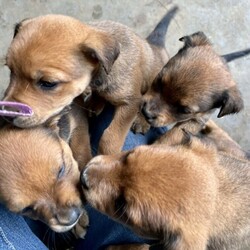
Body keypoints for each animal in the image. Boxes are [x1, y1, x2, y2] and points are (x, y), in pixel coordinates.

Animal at [1, 6, 178, 154]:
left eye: (48, 83)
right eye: (10, 70)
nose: (6, 115)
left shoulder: (131, 102)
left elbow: (110, 137)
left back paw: (142, 120)